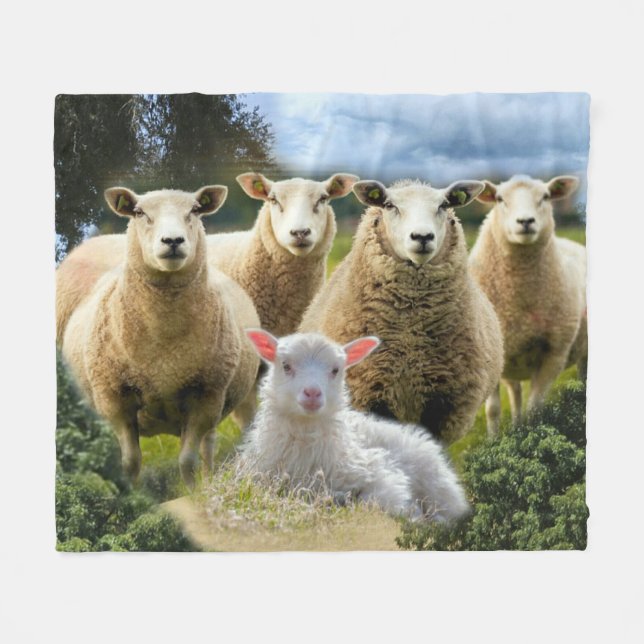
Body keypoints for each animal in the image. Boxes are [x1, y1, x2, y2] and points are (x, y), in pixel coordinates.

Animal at [61, 185, 260, 487]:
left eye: (194, 210)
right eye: (139, 212)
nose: (173, 240)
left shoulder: (206, 397)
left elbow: (187, 460)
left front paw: (192, 491)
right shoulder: (114, 399)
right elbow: (130, 461)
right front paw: (131, 492)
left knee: (208, 446)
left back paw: (208, 478)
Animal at [240, 330, 469, 522]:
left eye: (335, 370)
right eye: (286, 366)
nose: (312, 393)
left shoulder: (379, 473)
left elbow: (375, 500)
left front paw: (414, 515)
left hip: (437, 485)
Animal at [299, 179, 504, 444]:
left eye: (444, 205)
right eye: (389, 205)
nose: (422, 236)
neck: (410, 334)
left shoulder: (442, 403)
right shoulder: (370, 393)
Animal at [468, 174, 587, 434]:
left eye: (546, 196)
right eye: (500, 199)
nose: (525, 221)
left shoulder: (554, 354)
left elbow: (536, 409)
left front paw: (531, 435)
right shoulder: (489, 357)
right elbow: (493, 410)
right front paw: (496, 440)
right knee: (515, 395)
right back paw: (516, 427)